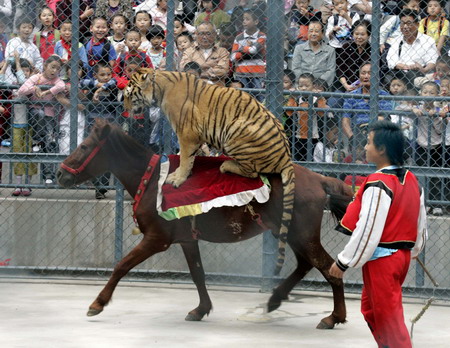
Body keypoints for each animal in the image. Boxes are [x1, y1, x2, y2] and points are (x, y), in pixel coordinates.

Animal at [56, 119, 354, 328]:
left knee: (328, 268)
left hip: (302, 235)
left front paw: (98, 302)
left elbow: (122, 265)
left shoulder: (156, 239)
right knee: (305, 264)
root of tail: (319, 179)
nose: (60, 174)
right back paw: (275, 299)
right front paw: (201, 309)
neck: (152, 181)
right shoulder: (187, 239)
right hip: (292, 234)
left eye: (83, 147)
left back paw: (333, 317)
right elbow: (197, 273)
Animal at [124, 68, 296, 274]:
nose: (124, 110)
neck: (159, 88)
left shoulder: (187, 133)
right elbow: (187, 157)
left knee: (252, 171)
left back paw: (226, 165)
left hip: (236, 131)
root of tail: (286, 156)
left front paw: (177, 179)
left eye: (128, 95)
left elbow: (185, 158)